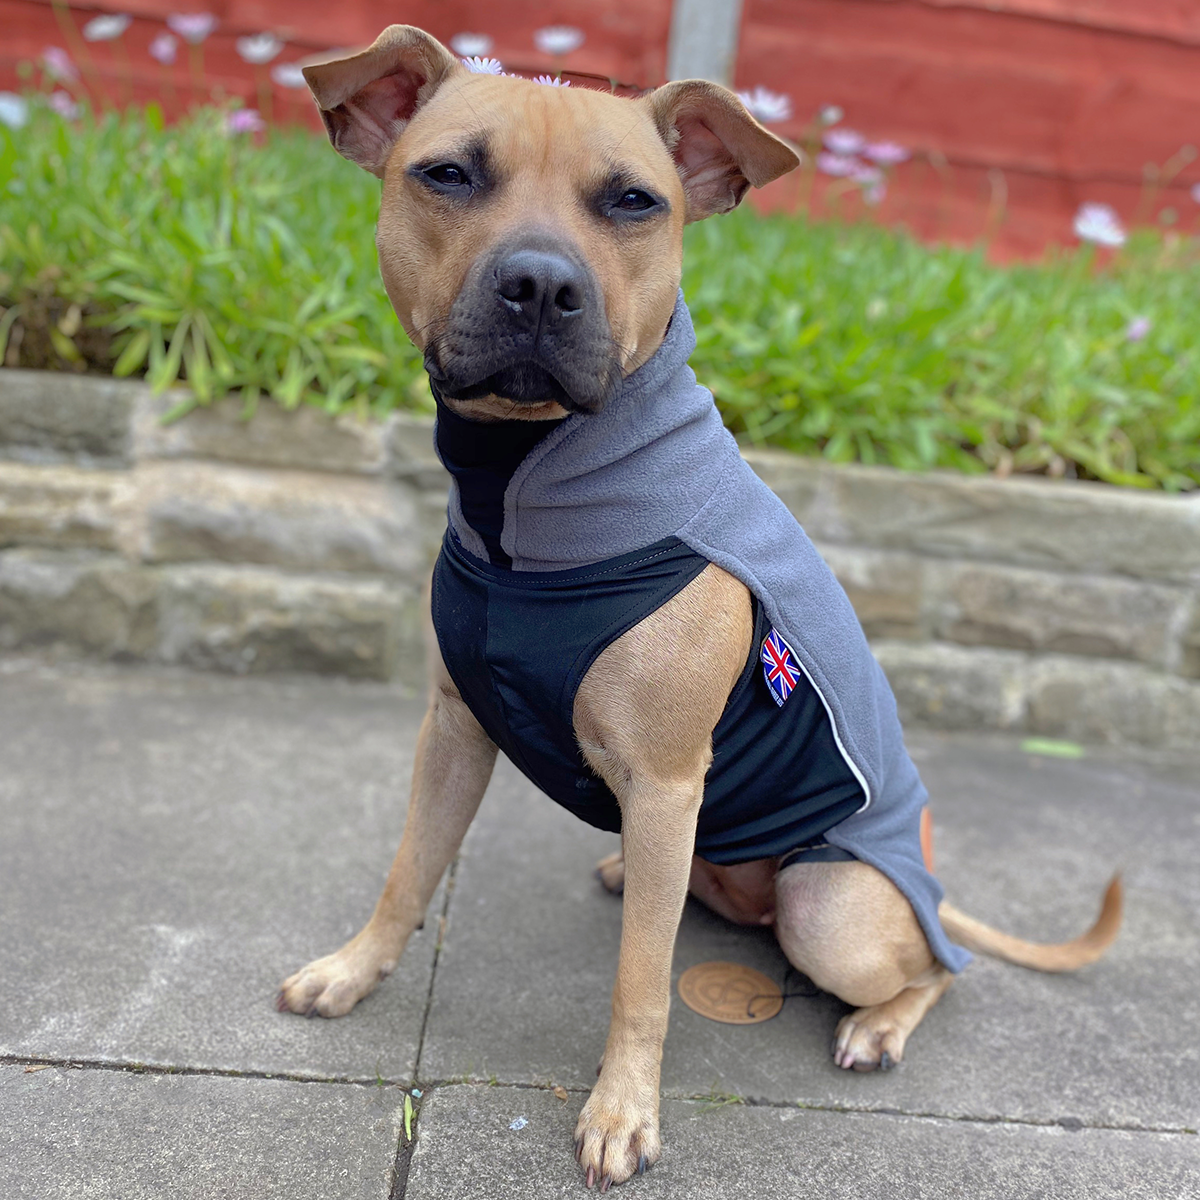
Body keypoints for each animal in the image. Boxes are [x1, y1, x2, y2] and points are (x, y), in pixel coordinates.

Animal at [276, 28, 1118, 1190]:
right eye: (446, 174)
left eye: (635, 202)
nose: (540, 284)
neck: (518, 492)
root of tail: (928, 884)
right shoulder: (452, 732)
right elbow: (409, 872)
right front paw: (353, 970)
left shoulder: (670, 781)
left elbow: (641, 981)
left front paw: (623, 1111)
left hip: (829, 906)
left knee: (936, 968)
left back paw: (880, 1023)